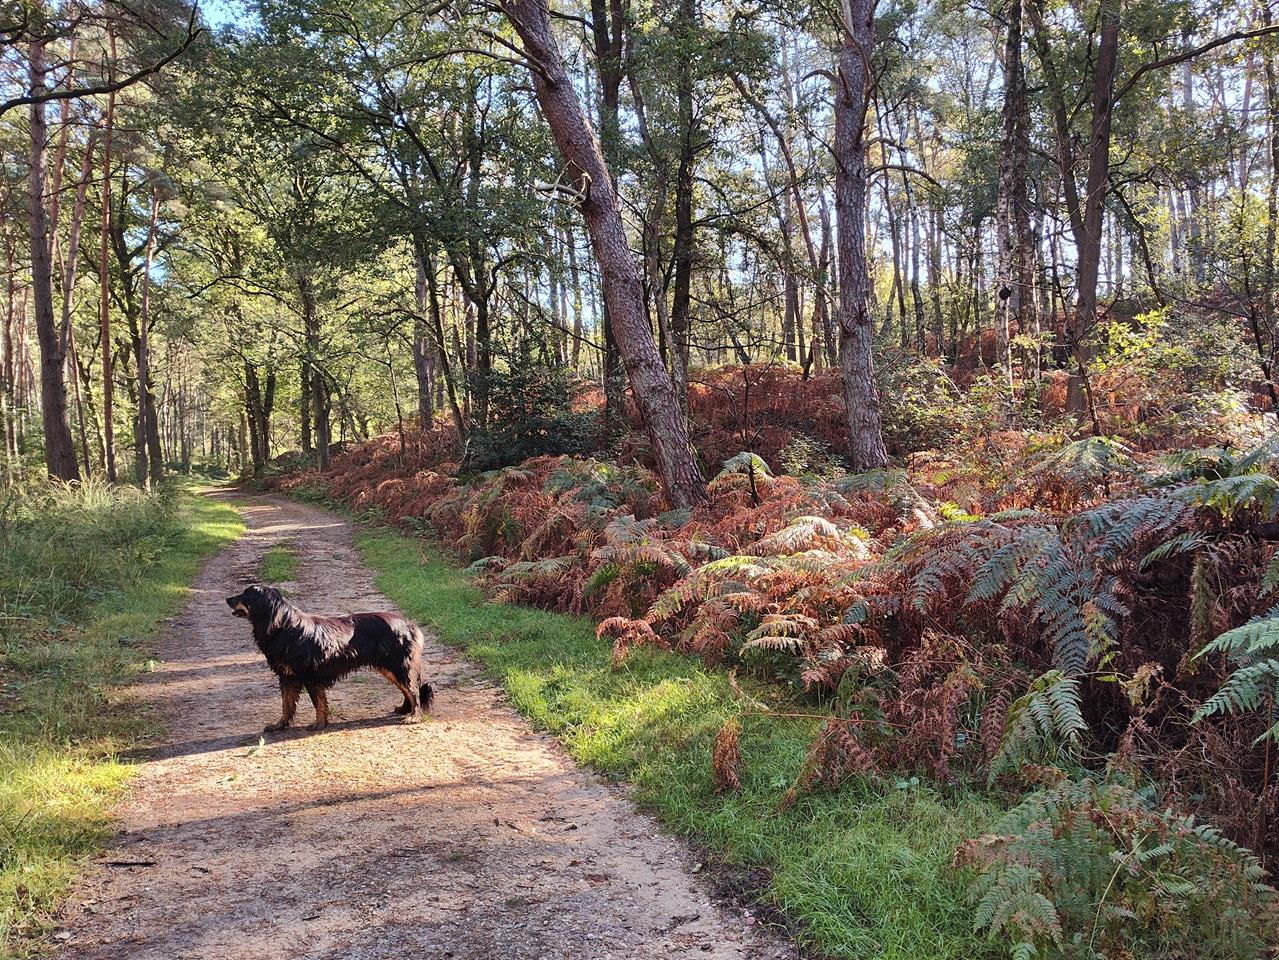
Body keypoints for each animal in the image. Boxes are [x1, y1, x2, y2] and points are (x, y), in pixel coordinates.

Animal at [225, 584, 434, 733]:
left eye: (244, 595)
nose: (227, 598)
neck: (283, 627)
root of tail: (409, 625)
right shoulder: (287, 677)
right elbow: (286, 705)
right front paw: (280, 725)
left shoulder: (311, 676)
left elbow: (317, 703)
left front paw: (319, 724)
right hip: (390, 668)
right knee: (408, 690)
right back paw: (405, 709)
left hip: (399, 666)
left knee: (413, 691)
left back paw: (414, 716)